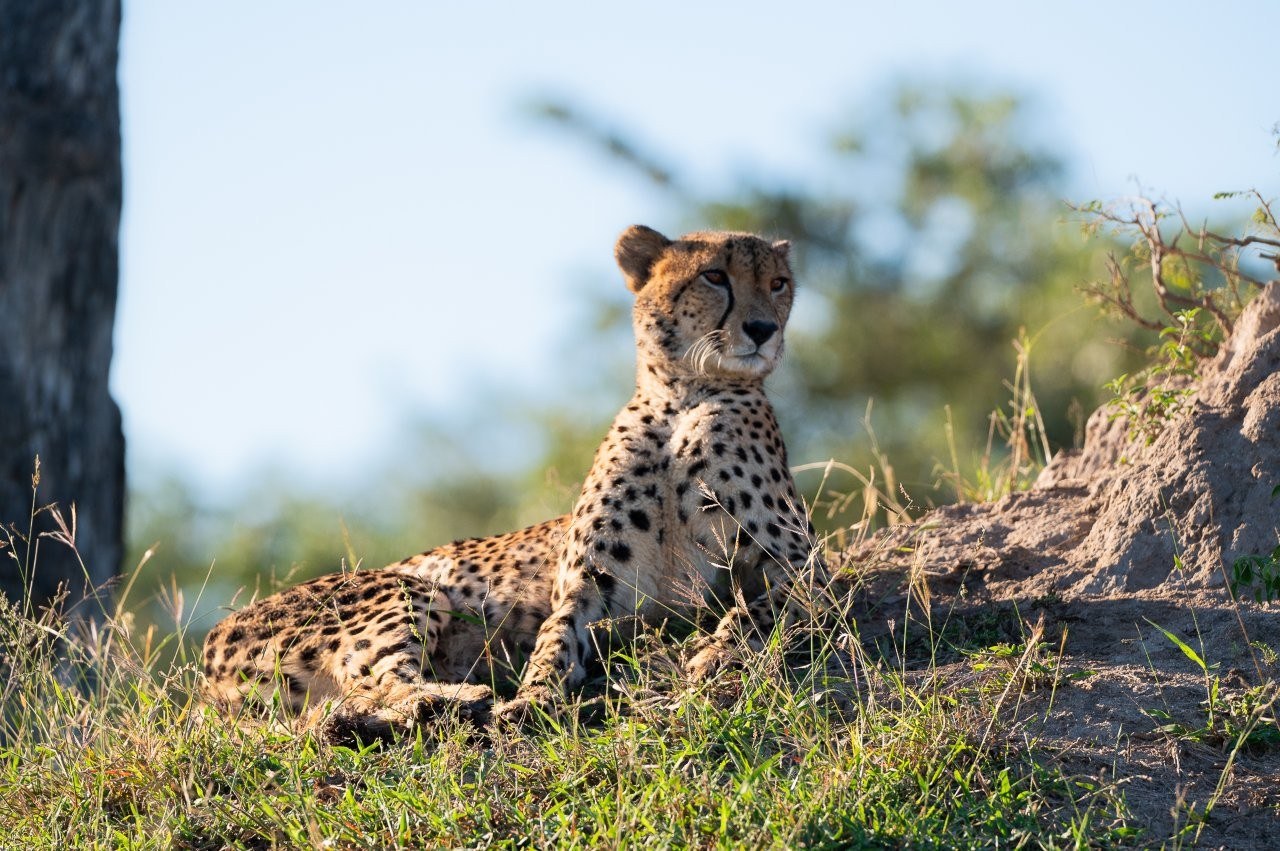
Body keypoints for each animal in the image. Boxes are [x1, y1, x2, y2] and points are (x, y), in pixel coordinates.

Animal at [200, 225, 826, 738]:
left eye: (777, 284)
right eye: (715, 276)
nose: (763, 329)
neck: (684, 398)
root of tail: (206, 661)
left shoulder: (804, 567)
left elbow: (756, 610)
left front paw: (717, 655)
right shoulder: (586, 588)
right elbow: (553, 640)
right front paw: (531, 699)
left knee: (352, 698)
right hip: (402, 587)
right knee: (375, 681)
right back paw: (453, 701)